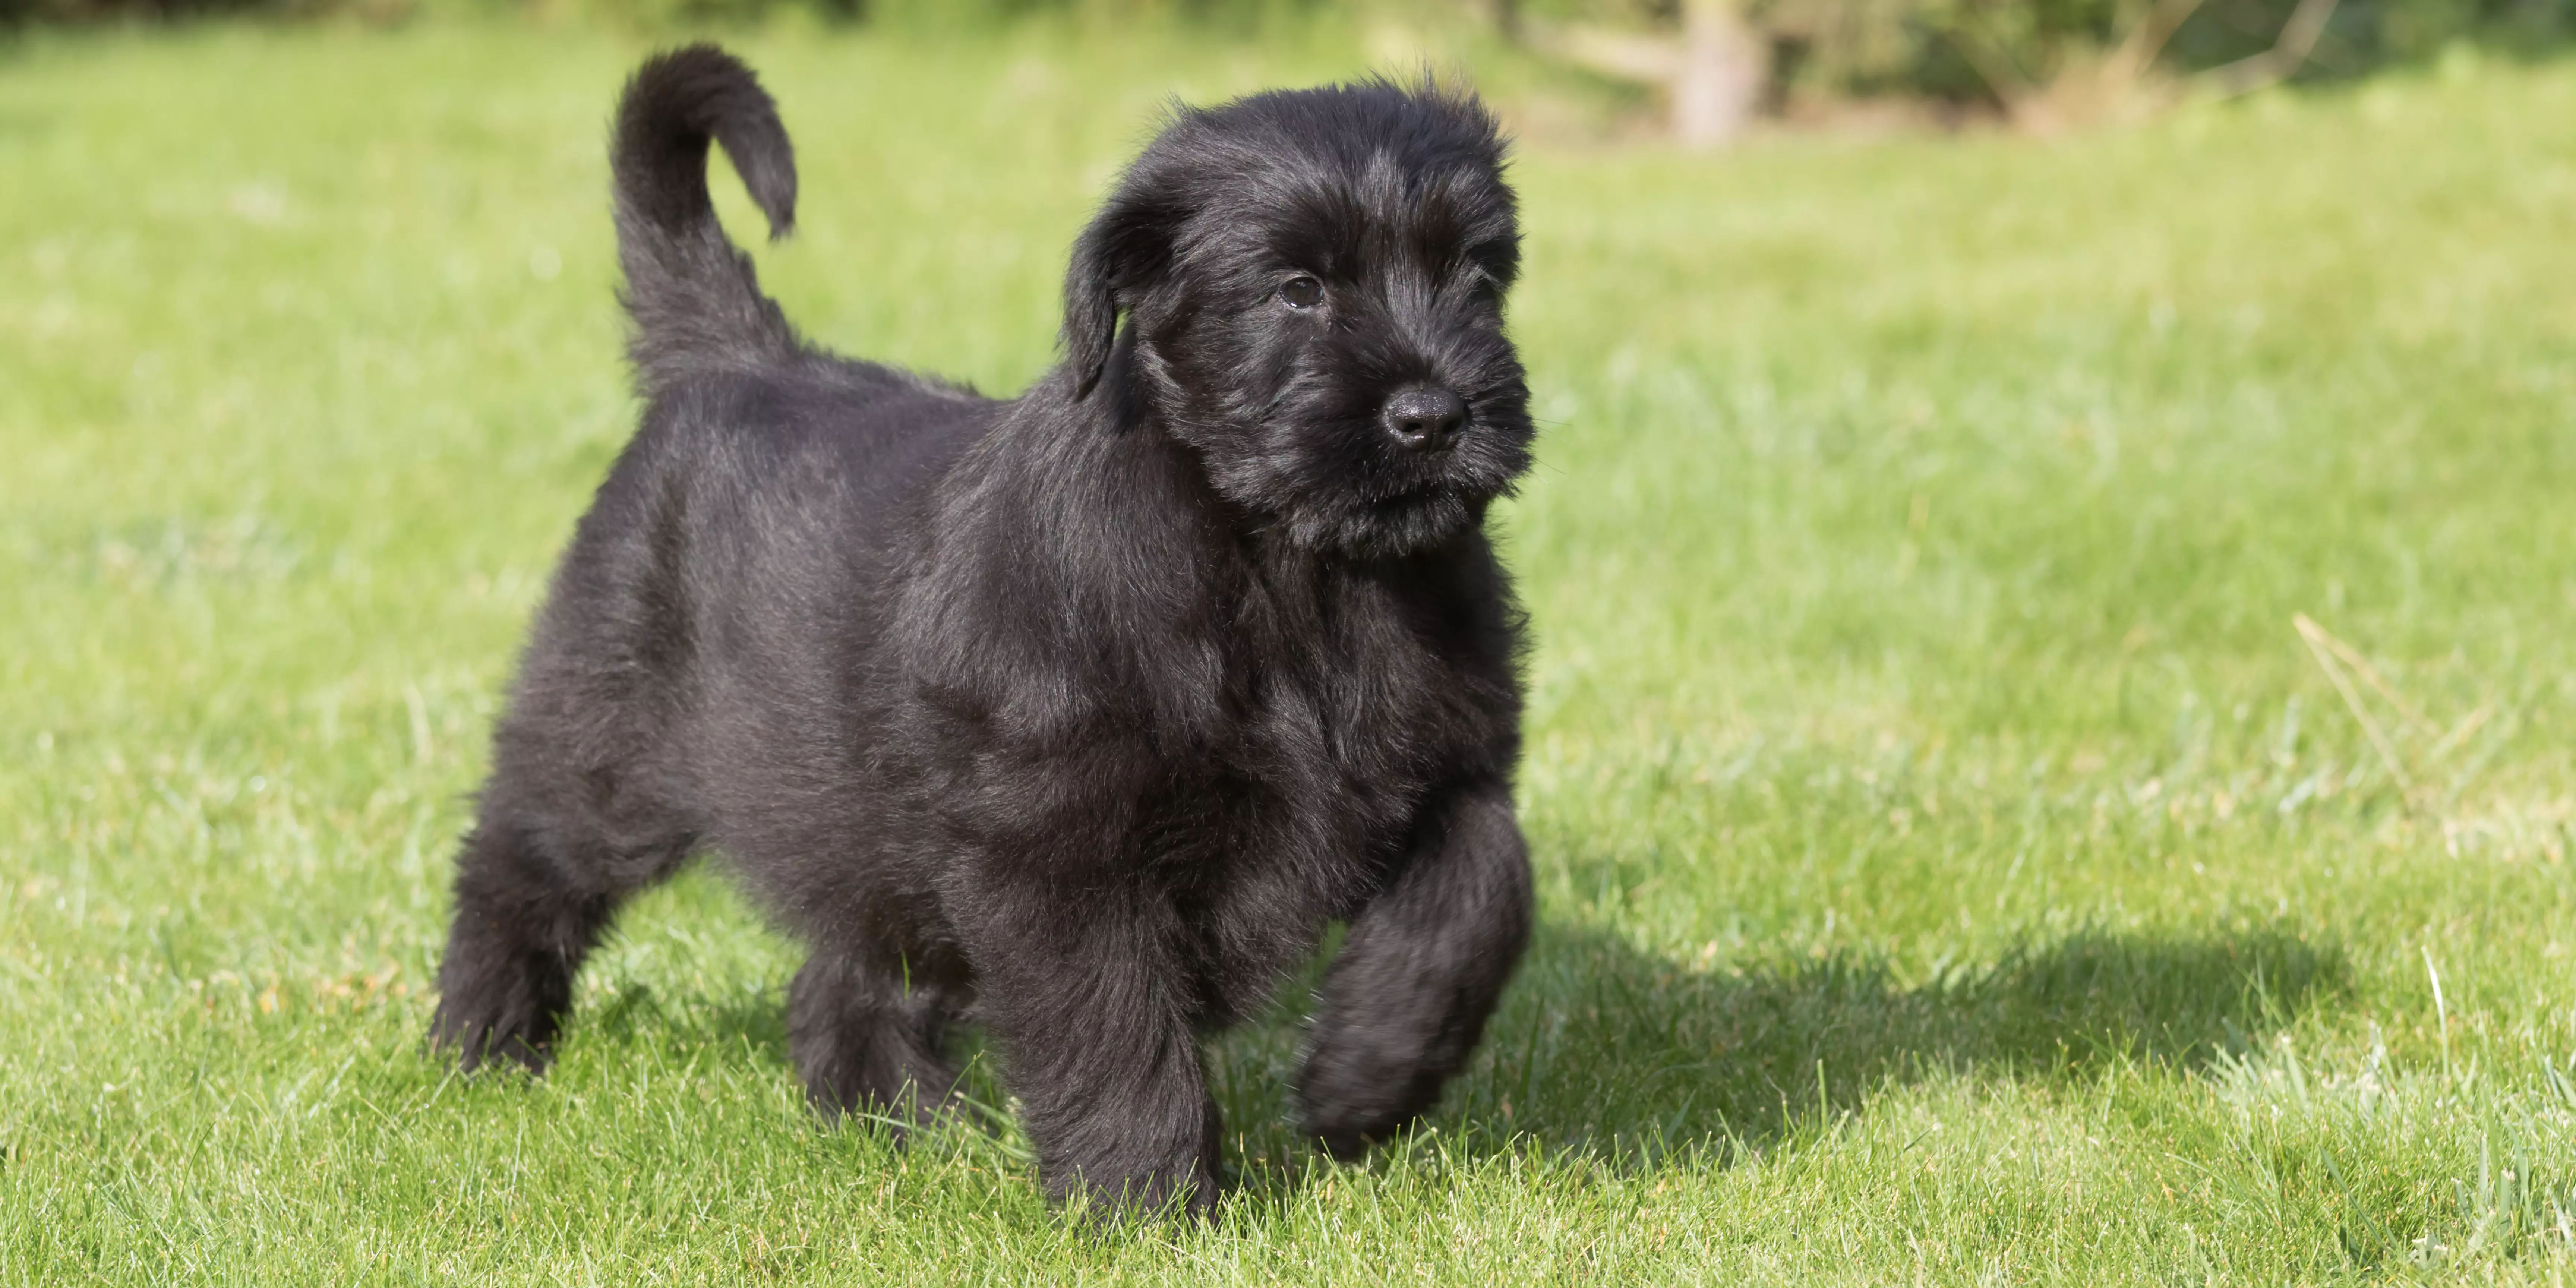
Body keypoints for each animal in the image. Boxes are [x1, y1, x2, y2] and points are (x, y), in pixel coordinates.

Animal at [433, 45, 1535, 1216]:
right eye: (1298, 289)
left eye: (1475, 275)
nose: (1434, 417)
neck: (1297, 572)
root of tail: (735, 359)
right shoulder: (1055, 846)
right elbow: (1114, 1026)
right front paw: (1145, 1203)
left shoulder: (1450, 760)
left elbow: (1482, 890)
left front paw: (1363, 1076)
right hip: (610, 744)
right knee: (519, 863)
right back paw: (481, 1045)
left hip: (860, 814)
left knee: (848, 973)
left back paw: (903, 1124)